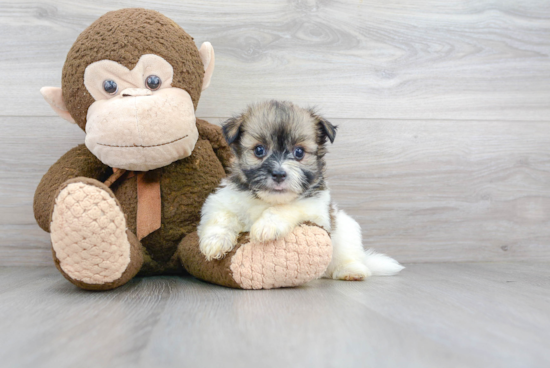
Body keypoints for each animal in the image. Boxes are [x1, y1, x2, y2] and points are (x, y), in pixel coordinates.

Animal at [198, 100, 406, 278]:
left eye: (299, 152)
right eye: (259, 150)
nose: (279, 174)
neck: (267, 200)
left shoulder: (316, 210)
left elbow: (287, 207)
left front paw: (267, 225)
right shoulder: (220, 200)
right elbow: (222, 217)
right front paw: (214, 242)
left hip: (346, 230)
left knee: (348, 256)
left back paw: (351, 270)